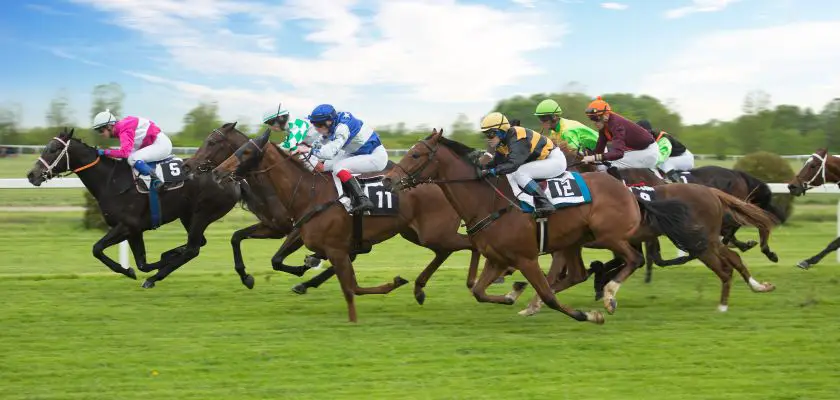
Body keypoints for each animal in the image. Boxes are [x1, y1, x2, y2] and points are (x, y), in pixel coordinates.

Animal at [27, 128, 238, 288]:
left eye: (53, 149)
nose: (31, 175)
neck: (112, 181)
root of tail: (230, 176)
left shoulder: (127, 225)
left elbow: (97, 249)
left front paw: (128, 271)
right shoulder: (134, 231)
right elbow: (142, 263)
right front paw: (146, 265)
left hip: (202, 214)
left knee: (193, 249)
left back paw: (154, 278)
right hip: (188, 215)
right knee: (198, 243)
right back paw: (170, 257)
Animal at [210, 131, 488, 322]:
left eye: (246, 152)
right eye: (237, 149)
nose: (217, 172)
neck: (309, 192)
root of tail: (438, 181)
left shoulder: (335, 248)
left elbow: (350, 286)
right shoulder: (303, 234)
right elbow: (277, 260)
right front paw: (303, 269)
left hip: (435, 233)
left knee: (471, 243)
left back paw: (472, 281)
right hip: (418, 234)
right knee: (446, 250)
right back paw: (420, 288)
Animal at [380, 130, 708, 324]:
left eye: (416, 154)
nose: (387, 180)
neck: (488, 200)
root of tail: (629, 190)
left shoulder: (526, 257)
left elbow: (550, 296)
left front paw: (587, 315)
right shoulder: (497, 258)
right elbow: (480, 291)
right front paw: (513, 295)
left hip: (608, 236)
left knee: (634, 259)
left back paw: (610, 295)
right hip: (574, 241)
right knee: (578, 273)